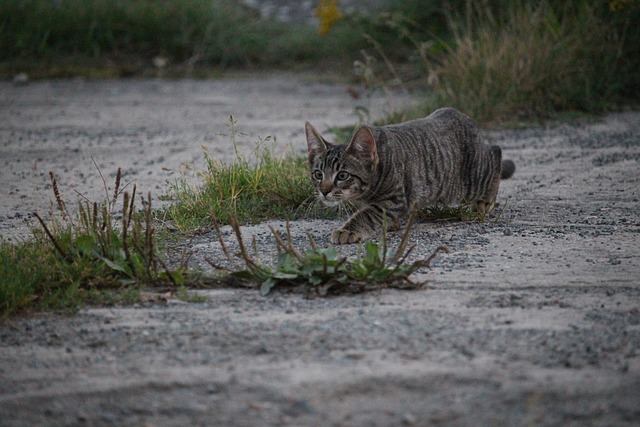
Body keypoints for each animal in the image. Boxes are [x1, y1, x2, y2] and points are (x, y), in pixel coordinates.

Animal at [304, 108, 516, 244]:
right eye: (318, 174)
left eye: (342, 175)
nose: (324, 191)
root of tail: (461, 115)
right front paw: (391, 224)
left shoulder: (395, 199)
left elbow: (367, 214)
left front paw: (348, 230)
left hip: (467, 183)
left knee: (495, 152)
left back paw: (486, 200)